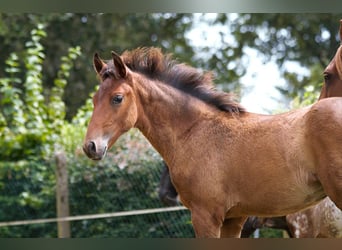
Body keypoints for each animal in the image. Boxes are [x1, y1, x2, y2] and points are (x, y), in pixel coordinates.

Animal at [83, 46, 342, 236]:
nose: (90, 146)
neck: (195, 130)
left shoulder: (205, 216)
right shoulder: (234, 219)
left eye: (117, 98)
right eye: (94, 100)